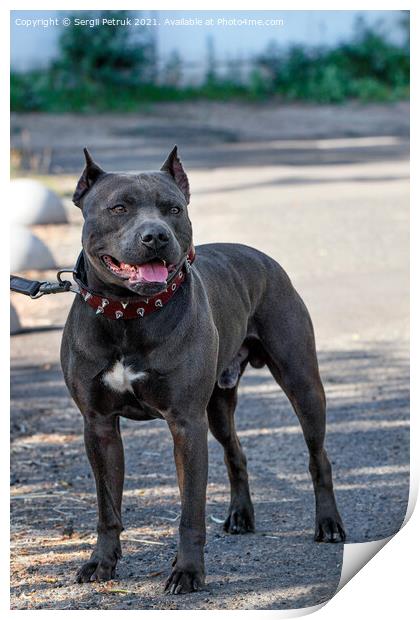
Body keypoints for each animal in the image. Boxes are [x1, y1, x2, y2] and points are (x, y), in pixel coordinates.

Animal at [61, 147, 344, 596]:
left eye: (173, 209)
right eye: (119, 208)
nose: (156, 236)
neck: (128, 314)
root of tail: (262, 257)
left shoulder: (186, 424)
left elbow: (190, 510)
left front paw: (188, 572)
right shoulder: (99, 425)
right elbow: (108, 507)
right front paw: (101, 562)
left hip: (302, 384)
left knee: (319, 458)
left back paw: (329, 524)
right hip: (218, 407)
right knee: (235, 453)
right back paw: (241, 516)